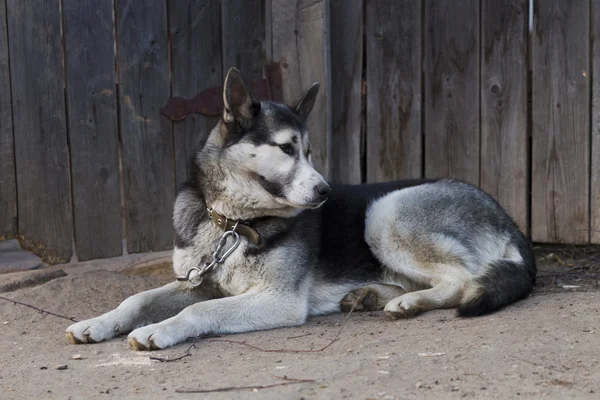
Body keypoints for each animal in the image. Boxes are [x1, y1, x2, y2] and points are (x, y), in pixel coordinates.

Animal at [64, 67, 536, 348]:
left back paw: (408, 304)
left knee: (462, 279)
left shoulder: (276, 300)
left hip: (384, 214)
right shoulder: (198, 282)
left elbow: (199, 310)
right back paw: (372, 295)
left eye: (309, 151)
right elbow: (136, 298)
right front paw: (99, 323)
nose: (325, 191)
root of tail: (508, 219)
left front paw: (160, 330)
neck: (234, 223)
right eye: (287, 149)